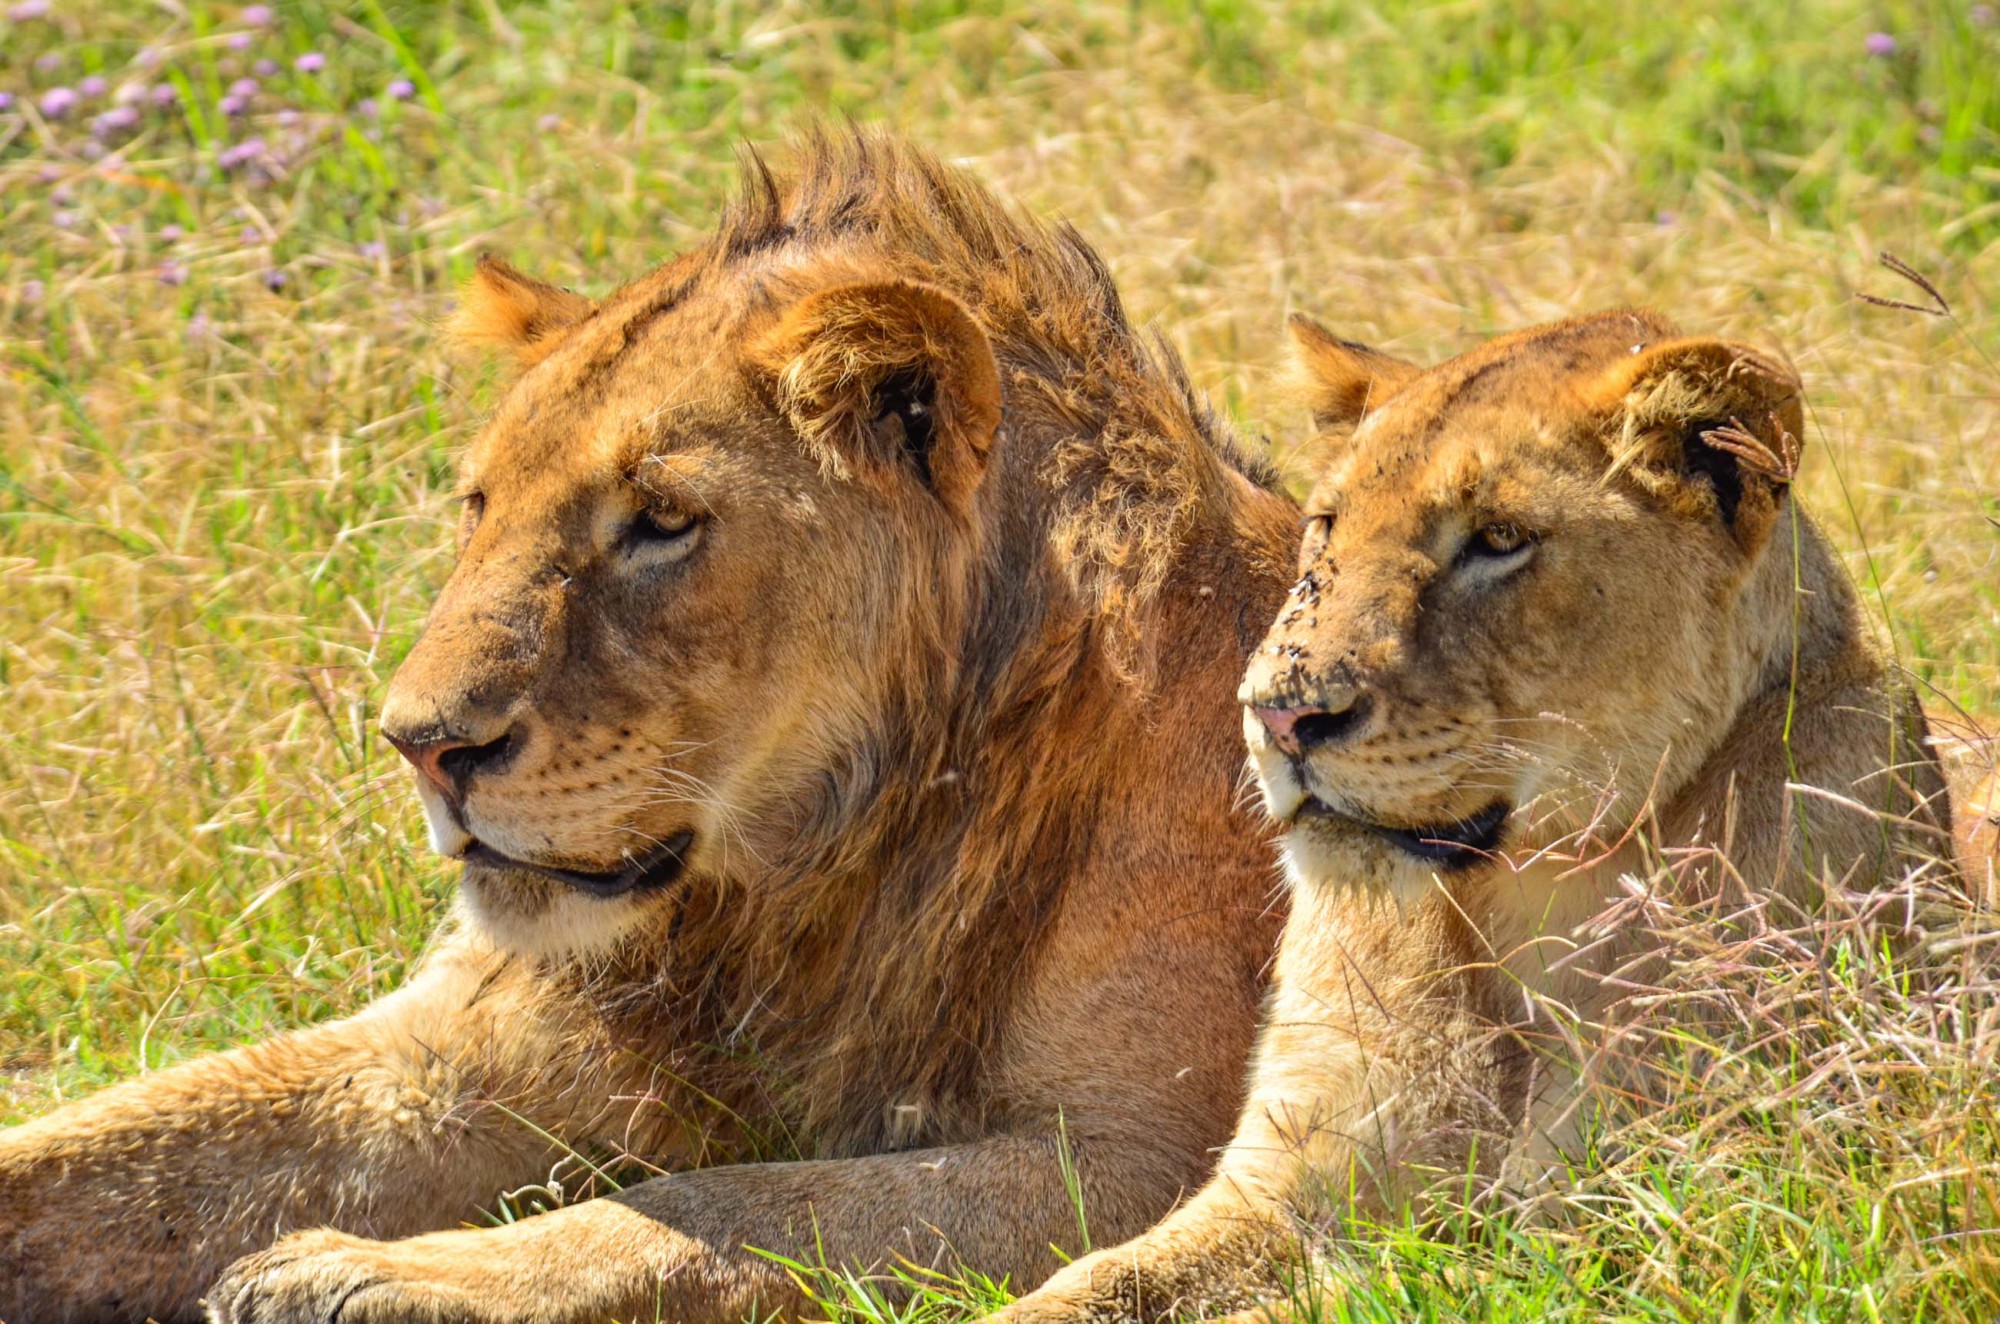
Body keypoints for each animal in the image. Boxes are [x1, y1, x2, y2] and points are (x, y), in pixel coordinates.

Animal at [0, 135, 1296, 1324]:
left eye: (661, 520)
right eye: (477, 505)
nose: (421, 744)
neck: (804, 879)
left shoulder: (1136, 1155)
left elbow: (726, 1203)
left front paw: (369, 1273)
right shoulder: (463, 1041)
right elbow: (112, 1149)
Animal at [992, 314, 1960, 1324]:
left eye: (1499, 538)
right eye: (1326, 527)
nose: (1277, 715)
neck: (1520, 908)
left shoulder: (1610, 1220)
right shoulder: (1282, 1182)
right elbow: (1092, 1282)